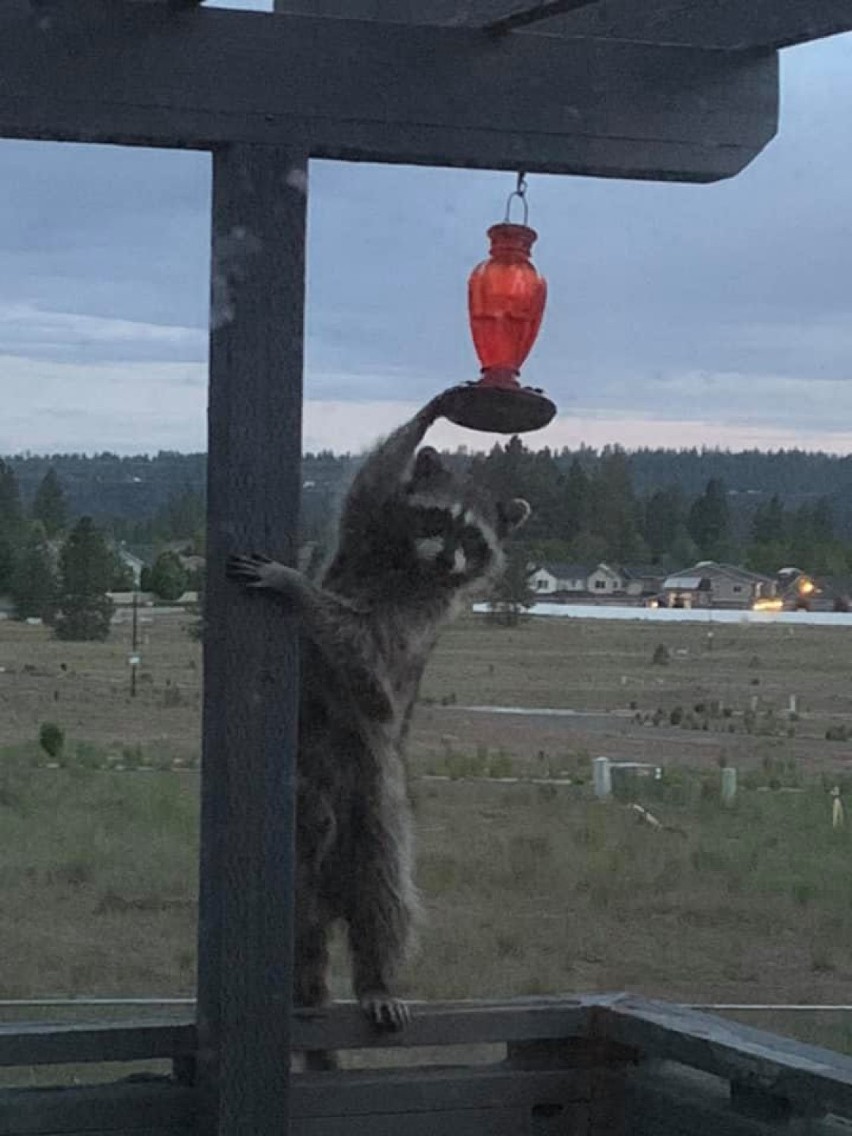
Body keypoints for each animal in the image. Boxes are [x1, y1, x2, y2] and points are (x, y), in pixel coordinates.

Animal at [227, 393, 533, 1063]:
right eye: (440, 520)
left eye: (472, 538)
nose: (447, 557)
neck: (408, 565)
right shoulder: (363, 531)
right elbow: (370, 483)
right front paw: (435, 411)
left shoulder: (417, 624)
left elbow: (366, 656)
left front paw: (297, 587)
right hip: (307, 808)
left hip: (376, 793)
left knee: (384, 893)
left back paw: (376, 978)